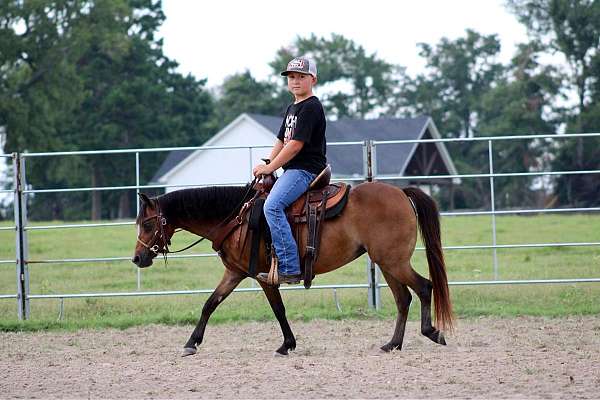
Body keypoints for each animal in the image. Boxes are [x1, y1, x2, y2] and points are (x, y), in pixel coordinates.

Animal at [131, 181, 450, 356]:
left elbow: (278, 309)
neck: (237, 218)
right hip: (386, 263)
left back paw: (432, 332)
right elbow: (210, 303)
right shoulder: (235, 272)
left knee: (423, 287)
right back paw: (392, 344)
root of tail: (401, 193)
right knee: (403, 298)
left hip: (394, 261)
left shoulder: (263, 276)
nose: (137, 258)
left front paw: (287, 344)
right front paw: (191, 343)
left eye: (146, 224)